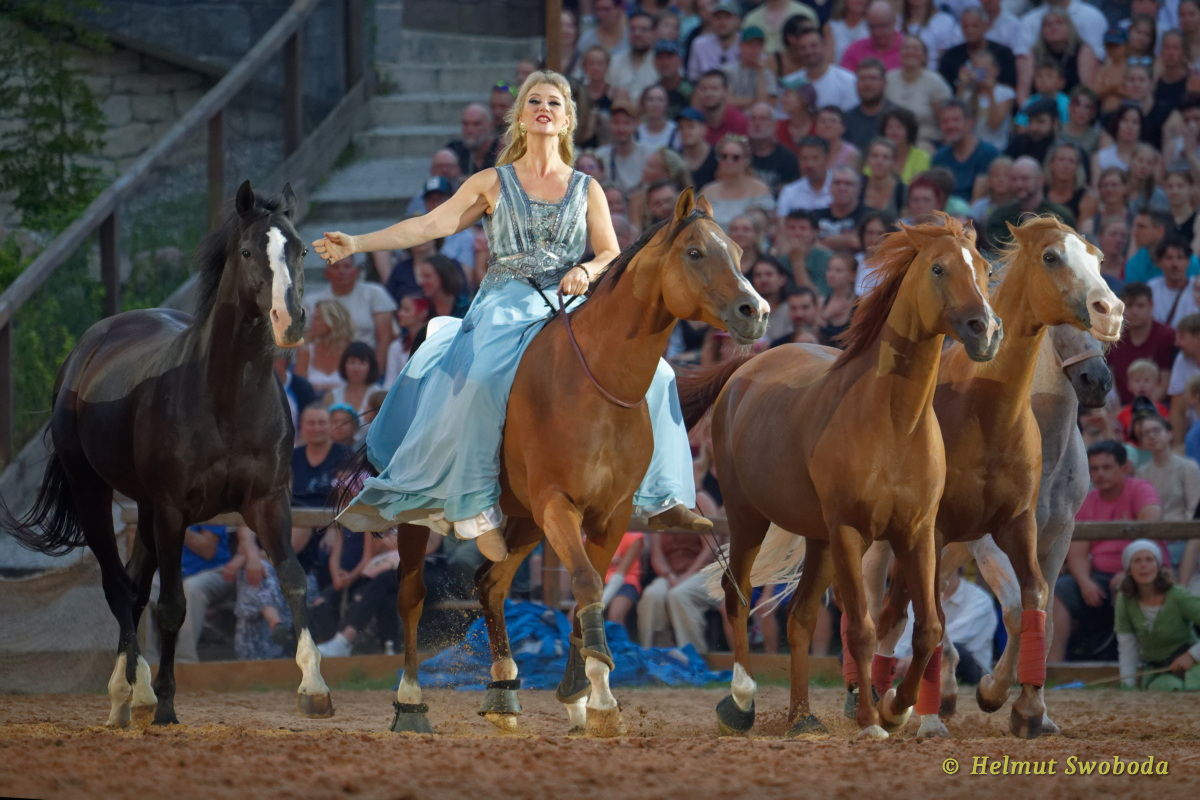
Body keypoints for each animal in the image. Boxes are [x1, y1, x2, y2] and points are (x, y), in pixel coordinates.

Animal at [0, 182, 333, 726]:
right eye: (247, 252)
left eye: (301, 249)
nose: (290, 321)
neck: (225, 399)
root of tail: (86, 350)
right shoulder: (175, 510)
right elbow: (173, 606)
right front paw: (166, 704)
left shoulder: (268, 502)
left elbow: (294, 580)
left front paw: (315, 688)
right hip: (96, 495)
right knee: (119, 587)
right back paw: (130, 695)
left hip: (146, 508)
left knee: (135, 586)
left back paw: (130, 692)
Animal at [386, 188, 769, 736]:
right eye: (695, 252)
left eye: (737, 252)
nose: (755, 310)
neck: (594, 383)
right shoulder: (557, 504)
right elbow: (585, 582)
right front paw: (601, 697)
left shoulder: (608, 515)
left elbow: (591, 588)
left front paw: (577, 692)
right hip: (418, 511)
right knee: (413, 594)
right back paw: (411, 702)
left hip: (523, 520)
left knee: (491, 583)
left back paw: (504, 691)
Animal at [678, 213, 1003, 739]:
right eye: (938, 268)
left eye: (985, 270)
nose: (986, 330)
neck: (894, 422)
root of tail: (750, 366)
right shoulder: (851, 532)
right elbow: (862, 630)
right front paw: (871, 721)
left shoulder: (917, 534)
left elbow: (929, 629)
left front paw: (897, 708)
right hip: (751, 518)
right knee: (736, 594)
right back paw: (741, 705)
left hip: (820, 540)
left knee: (800, 620)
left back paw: (802, 717)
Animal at [838, 216, 1123, 739]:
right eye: (1051, 257)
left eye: (1097, 259)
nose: (1109, 312)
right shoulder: (968, 538)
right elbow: (995, 611)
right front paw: (970, 700)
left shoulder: (1041, 532)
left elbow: (1038, 609)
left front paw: (1031, 709)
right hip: (880, 545)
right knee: (873, 606)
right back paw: (870, 696)